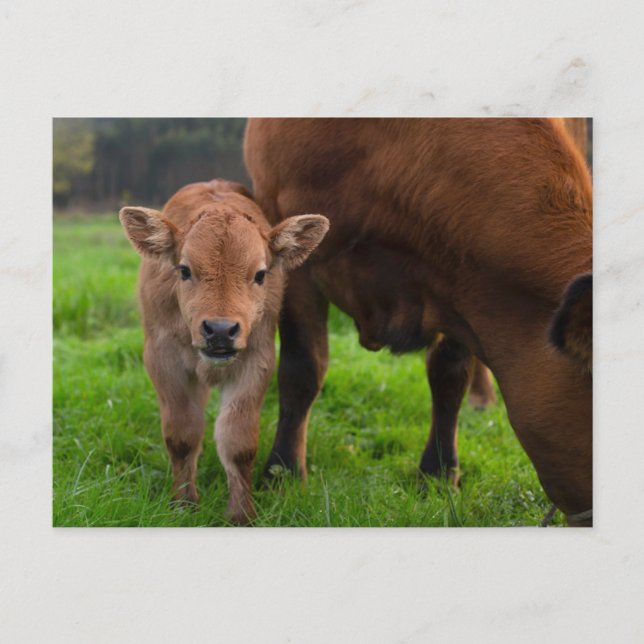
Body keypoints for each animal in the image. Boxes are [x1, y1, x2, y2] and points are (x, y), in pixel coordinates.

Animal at [119, 179, 329, 524]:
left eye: (260, 274)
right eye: (184, 270)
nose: (219, 329)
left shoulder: (256, 361)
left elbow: (238, 442)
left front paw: (241, 514)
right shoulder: (163, 361)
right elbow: (182, 435)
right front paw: (183, 504)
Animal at [244, 118, 592, 526]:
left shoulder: (460, 281)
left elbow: (449, 376)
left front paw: (439, 474)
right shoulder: (289, 239)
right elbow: (302, 370)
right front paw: (280, 475)